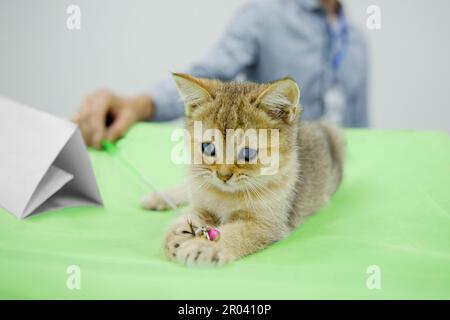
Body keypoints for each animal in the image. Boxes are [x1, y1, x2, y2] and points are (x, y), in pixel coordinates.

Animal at [142, 74, 342, 266]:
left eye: (247, 153)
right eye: (208, 148)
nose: (222, 176)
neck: (226, 196)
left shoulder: (267, 225)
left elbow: (233, 233)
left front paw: (203, 246)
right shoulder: (202, 204)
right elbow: (190, 214)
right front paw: (177, 233)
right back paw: (158, 197)